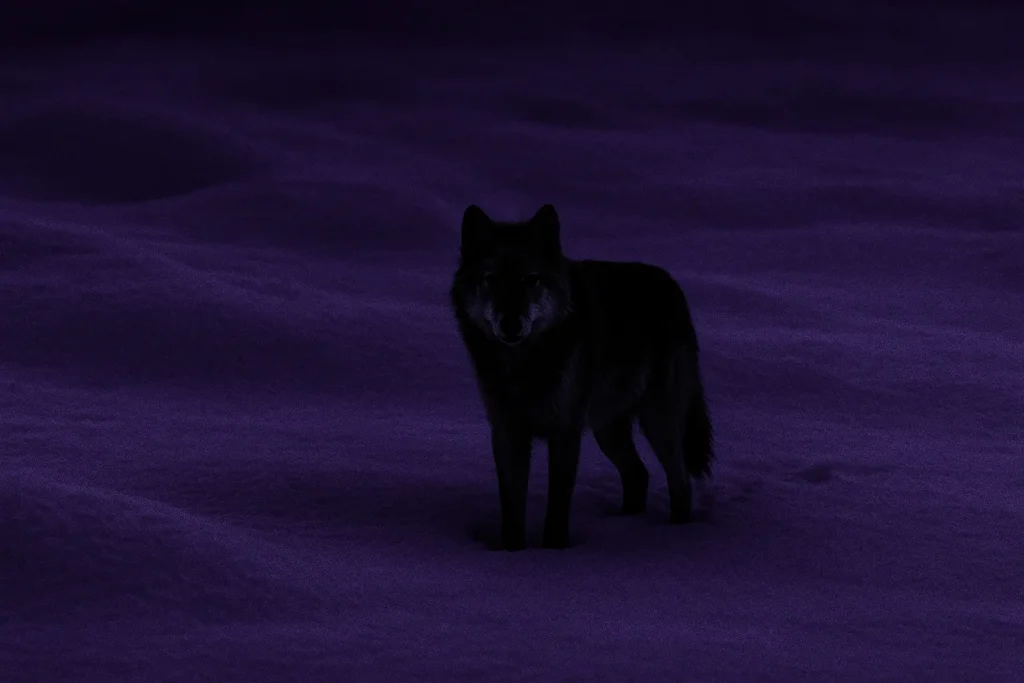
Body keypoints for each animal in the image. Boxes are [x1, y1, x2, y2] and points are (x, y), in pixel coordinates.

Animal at [450, 204, 714, 551]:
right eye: (491, 279)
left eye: (530, 280)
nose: (511, 324)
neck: (524, 363)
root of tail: (672, 284)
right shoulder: (508, 432)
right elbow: (512, 506)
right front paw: (513, 551)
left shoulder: (565, 430)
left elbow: (558, 504)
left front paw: (554, 550)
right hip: (608, 430)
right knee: (639, 475)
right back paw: (625, 523)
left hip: (659, 422)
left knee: (680, 481)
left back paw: (676, 533)